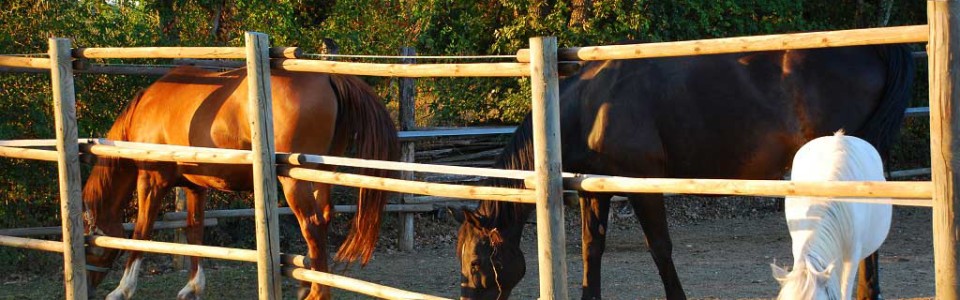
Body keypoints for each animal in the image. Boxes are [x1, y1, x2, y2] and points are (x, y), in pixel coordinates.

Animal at [80, 67, 400, 300]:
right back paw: (309, 283)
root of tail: (328, 77)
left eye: (89, 245)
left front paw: (122, 288)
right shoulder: (195, 186)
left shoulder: (152, 181)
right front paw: (193, 286)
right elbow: (194, 230)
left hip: (295, 180)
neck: (148, 109)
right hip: (321, 174)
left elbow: (141, 232)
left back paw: (317, 292)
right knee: (323, 220)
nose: (89, 287)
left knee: (311, 225)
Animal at [458, 44, 916, 300]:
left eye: (478, 263)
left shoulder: (642, 185)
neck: (592, 105)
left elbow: (660, 248)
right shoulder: (594, 190)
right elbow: (592, 250)